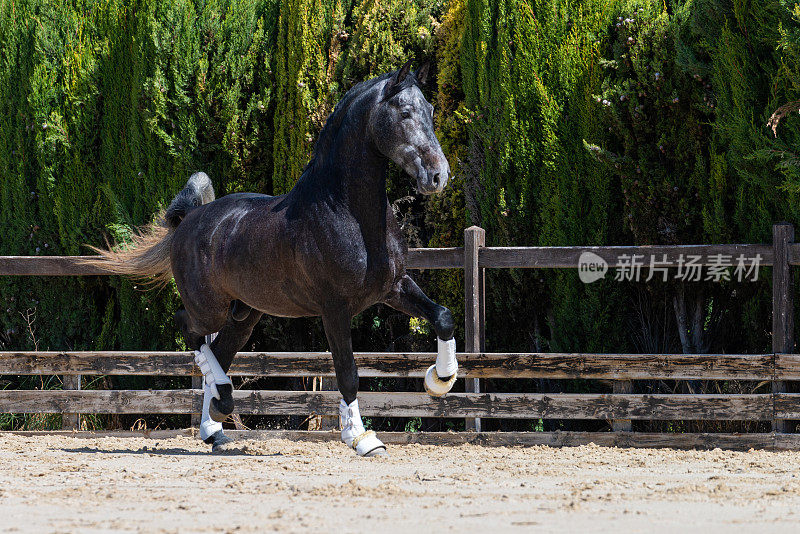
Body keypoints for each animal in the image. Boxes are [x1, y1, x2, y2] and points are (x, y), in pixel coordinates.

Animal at [83, 61, 456, 456]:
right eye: (404, 112)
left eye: (431, 111)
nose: (438, 176)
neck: (347, 212)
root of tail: (191, 220)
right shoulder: (335, 308)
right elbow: (348, 373)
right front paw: (362, 439)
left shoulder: (393, 287)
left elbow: (443, 317)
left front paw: (440, 379)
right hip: (209, 307)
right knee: (189, 329)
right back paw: (222, 400)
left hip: (244, 315)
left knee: (219, 350)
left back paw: (215, 429)